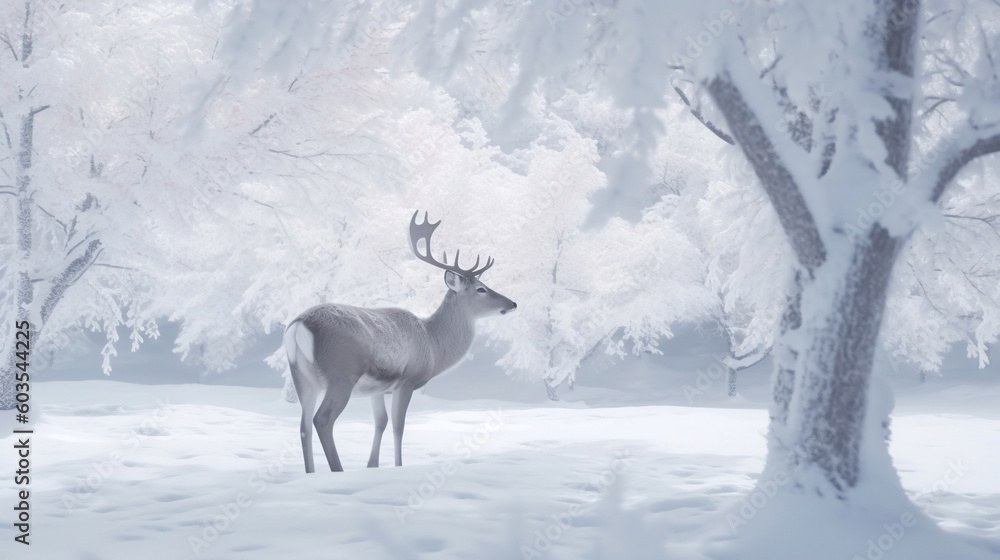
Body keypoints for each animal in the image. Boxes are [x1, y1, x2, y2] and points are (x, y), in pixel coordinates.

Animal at [283, 211, 517, 473]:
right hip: (341, 374)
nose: (512, 303)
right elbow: (398, 426)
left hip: (301, 376)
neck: (432, 344)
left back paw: (311, 473)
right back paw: (338, 470)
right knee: (322, 419)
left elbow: (381, 422)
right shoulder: (408, 379)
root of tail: (300, 325)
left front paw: (372, 465)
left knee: (303, 426)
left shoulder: (377, 389)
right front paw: (398, 466)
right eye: (481, 289)